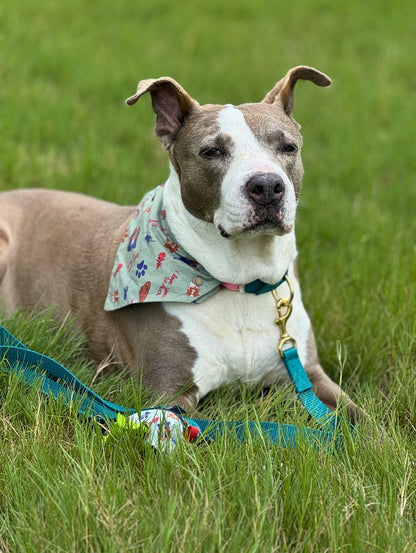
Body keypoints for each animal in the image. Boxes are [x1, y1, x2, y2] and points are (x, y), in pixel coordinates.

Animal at [0, 66, 358, 418]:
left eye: (288, 147)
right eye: (212, 151)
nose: (268, 185)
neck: (243, 282)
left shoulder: (308, 373)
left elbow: (361, 420)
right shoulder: (168, 395)